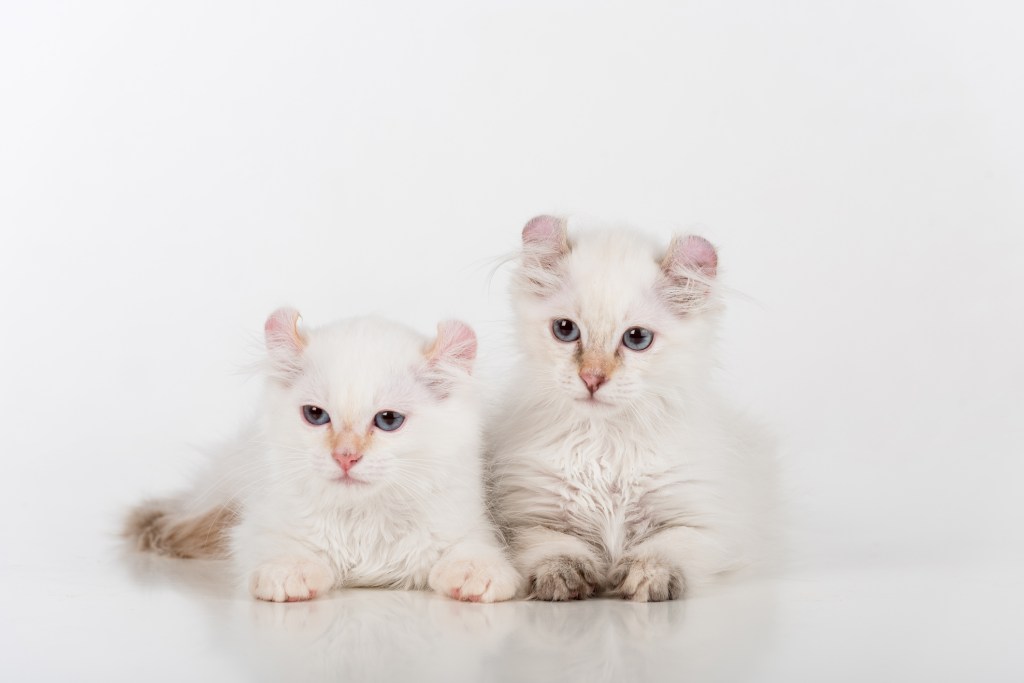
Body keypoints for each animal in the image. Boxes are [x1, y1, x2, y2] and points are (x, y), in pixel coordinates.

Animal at [125, 309, 520, 602]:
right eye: (315, 415)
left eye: (388, 420)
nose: (345, 456)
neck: (363, 520)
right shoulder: (256, 526)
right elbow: (279, 548)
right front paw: (291, 573)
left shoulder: (468, 526)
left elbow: (473, 552)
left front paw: (476, 575)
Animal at [489, 216, 774, 602]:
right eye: (565, 330)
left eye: (637, 338)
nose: (592, 378)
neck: (606, 445)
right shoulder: (527, 519)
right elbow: (554, 546)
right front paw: (563, 576)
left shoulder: (706, 525)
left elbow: (665, 547)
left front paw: (649, 578)